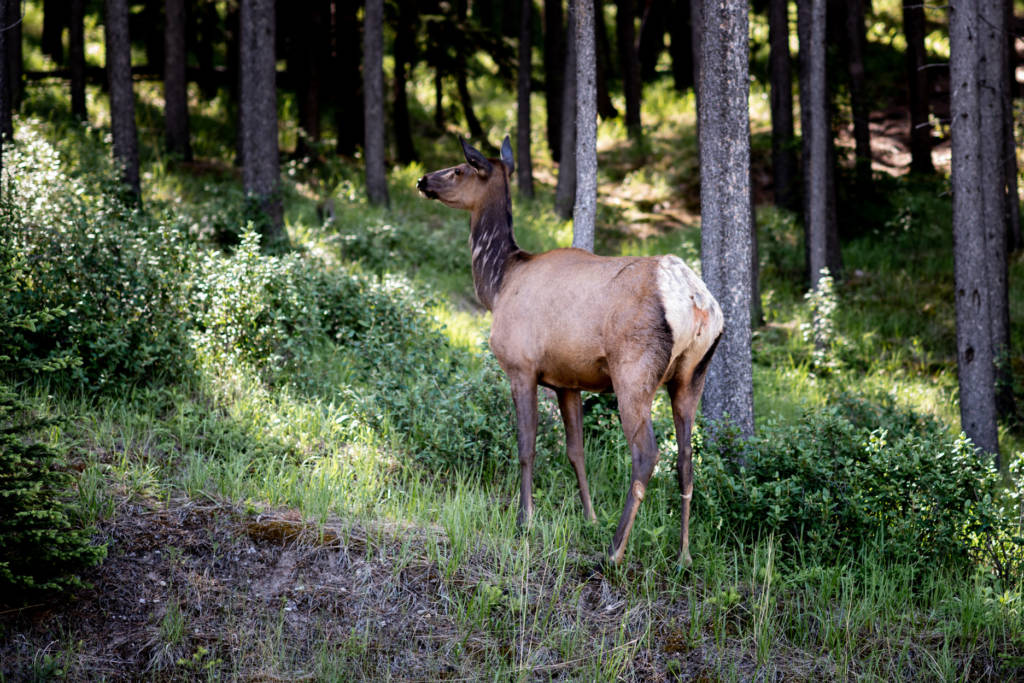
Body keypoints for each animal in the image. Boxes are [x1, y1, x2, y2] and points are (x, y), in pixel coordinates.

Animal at [411, 135, 724, 565]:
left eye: (459, 169)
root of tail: (694, 301)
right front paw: (589, 517)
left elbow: (526, 445)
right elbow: (576, 451)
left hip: (633, 370)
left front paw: (525, 518)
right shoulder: (567, 381)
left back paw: (615, 551)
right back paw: (684, 555)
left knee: (646, 454)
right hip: (693, 375)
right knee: (686, 458)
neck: (498, 284)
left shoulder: (521, 365)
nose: (423, 179)